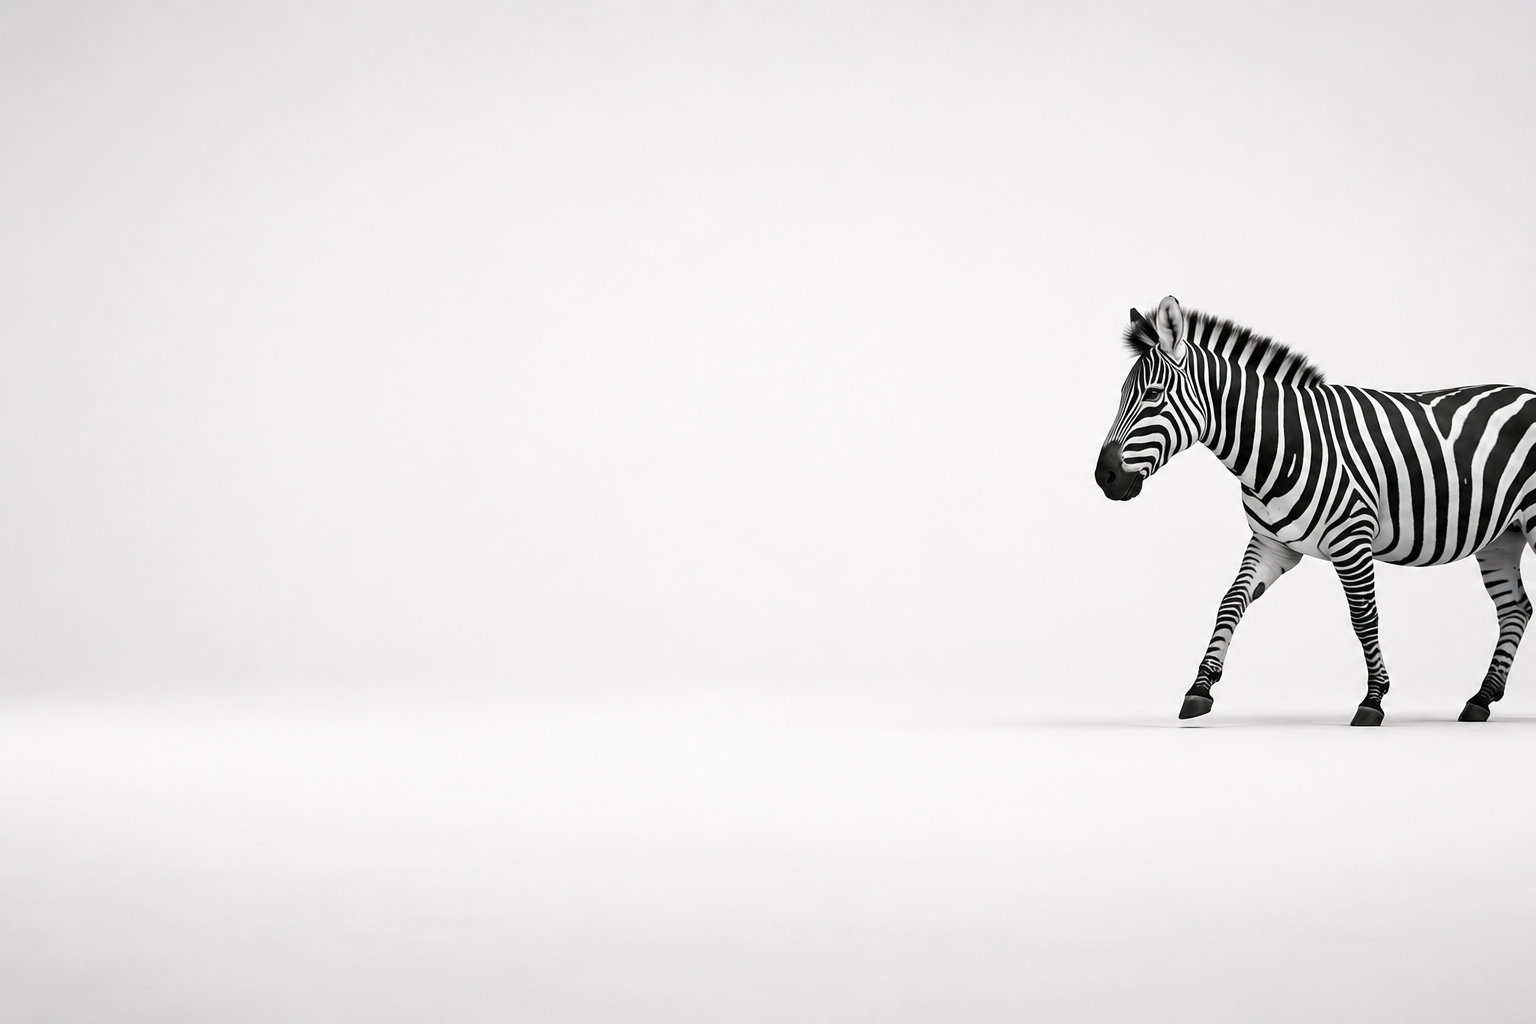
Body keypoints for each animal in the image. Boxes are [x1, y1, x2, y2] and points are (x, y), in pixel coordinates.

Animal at [1096, 296, 1536, 725]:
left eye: (1153, 395)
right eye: (1121, 395)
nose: (1105, 477)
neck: (1280, 445)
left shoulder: (1352, 538)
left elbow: (1364, 617)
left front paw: (1373, 700)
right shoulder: (1271, 544)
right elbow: (1230, 603)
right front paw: (1200, 688)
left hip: (1531, 521)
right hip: (1502, 536)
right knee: (1515, 608)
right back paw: (1480, 699)